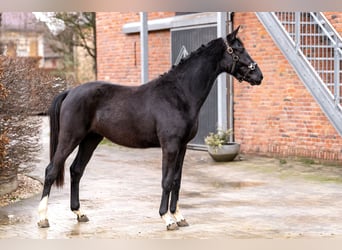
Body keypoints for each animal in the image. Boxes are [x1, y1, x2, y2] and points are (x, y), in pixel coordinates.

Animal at [37, 26, 262, 230]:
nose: (259, 76)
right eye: (238, 49)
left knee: (76, 171)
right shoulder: (170, 146)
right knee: (51, 170)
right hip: (70, 137)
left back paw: (79, 213)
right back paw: (42, 219)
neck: (178, 94)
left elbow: (177, 180)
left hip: (90, 139)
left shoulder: (182, 147)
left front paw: (179, 216)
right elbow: (166, 180)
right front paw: (167, 218)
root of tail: (70, 91)